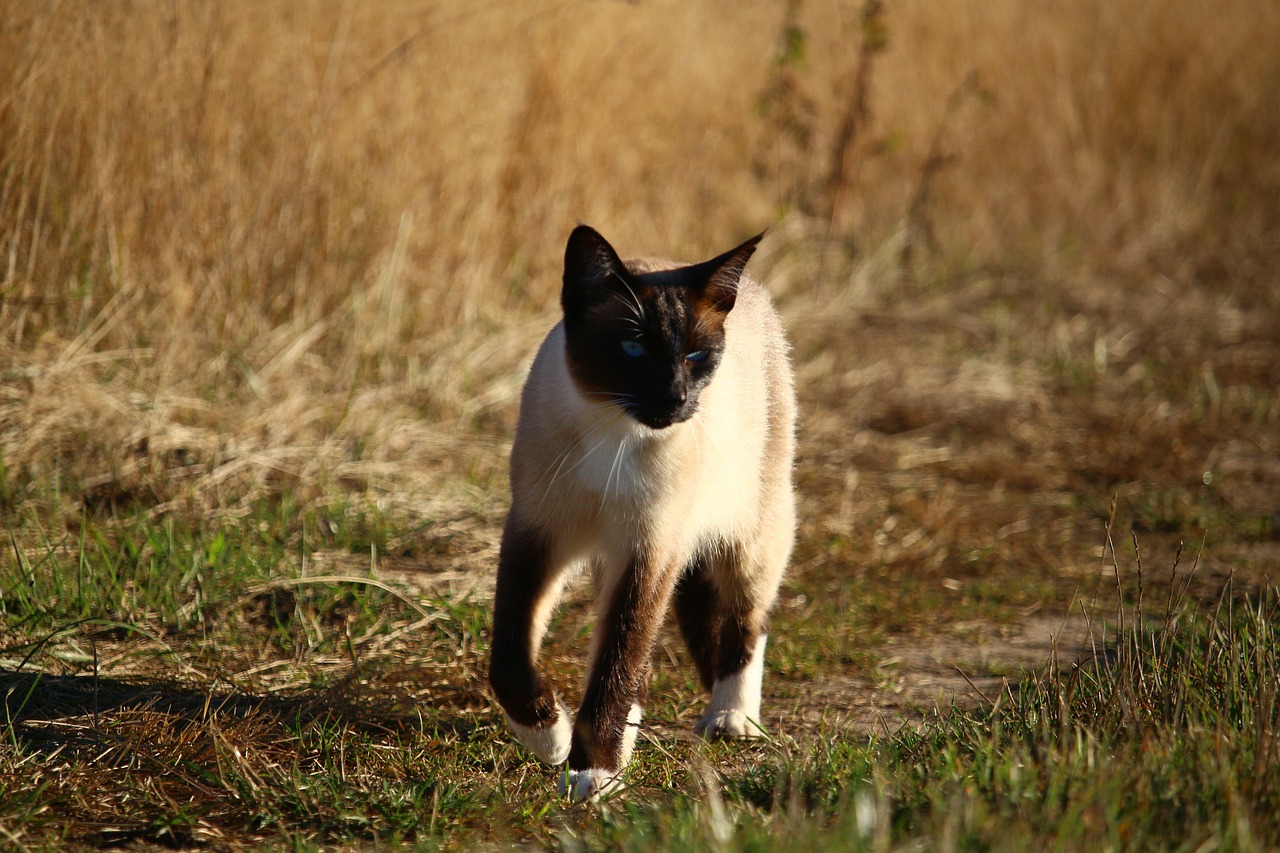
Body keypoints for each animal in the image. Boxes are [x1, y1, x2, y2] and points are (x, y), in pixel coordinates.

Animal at [486, 224, 793, 799]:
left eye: (696, 356)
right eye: (632, 348)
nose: (674, 398)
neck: (614, 431)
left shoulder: (649, 549)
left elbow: (619, 661)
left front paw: (592, 771)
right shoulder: (537, 533)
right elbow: (510, 657)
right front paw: (552, 740)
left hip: (749, 534)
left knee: (745, 622)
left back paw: (732, 719)